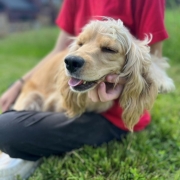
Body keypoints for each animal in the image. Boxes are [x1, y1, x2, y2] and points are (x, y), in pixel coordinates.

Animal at [13, 18, 174, 131]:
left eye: (109, 49)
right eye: (80, 44)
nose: (70, 62)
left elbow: (153, 62)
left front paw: (163, 81)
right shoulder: (59, 101)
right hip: (29, 99)